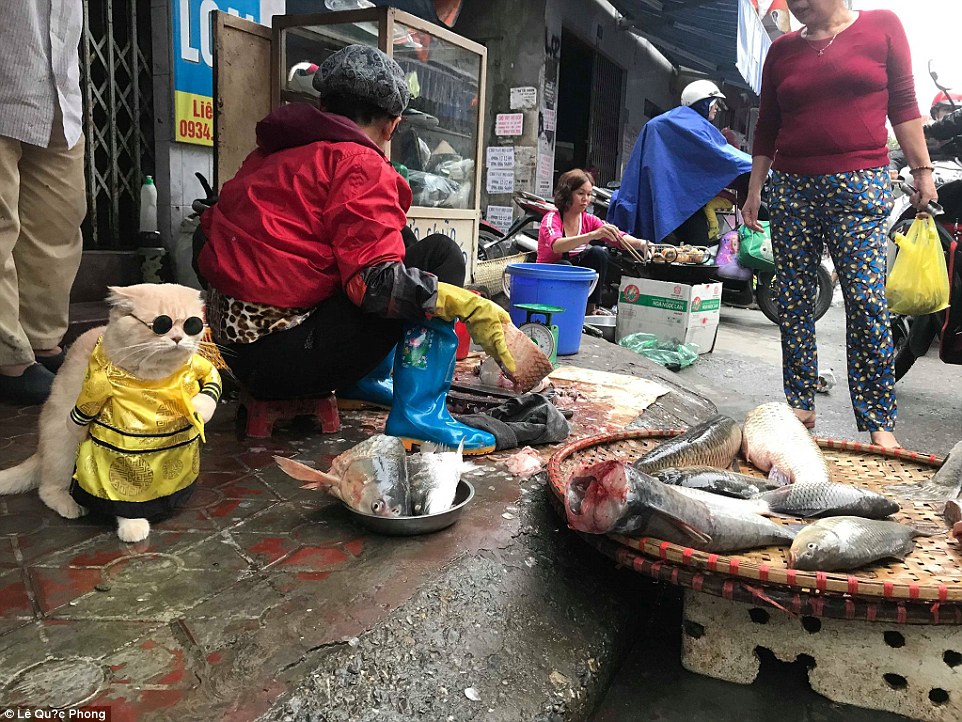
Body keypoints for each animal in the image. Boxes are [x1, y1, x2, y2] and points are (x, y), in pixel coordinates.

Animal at [0, 282, 218, 540]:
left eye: (191, 324)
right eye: (160, 325)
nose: (177, 338)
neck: (159, 378)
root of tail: (40, 450)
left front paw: (198, 408)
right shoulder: (118, 439)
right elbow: (126, 490)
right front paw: (133, 525)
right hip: (62, 445)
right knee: (47, 488)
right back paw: (70, 505)